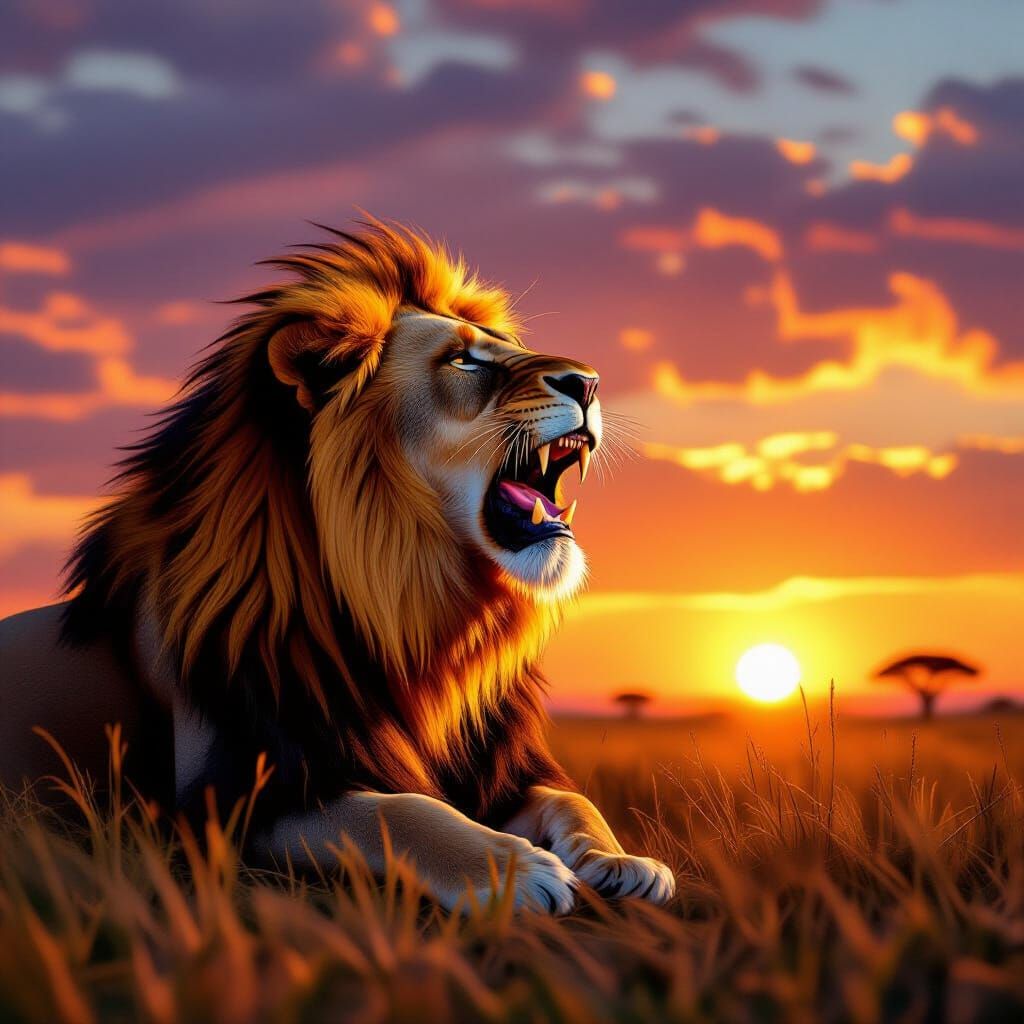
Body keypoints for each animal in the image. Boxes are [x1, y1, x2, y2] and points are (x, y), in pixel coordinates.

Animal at [0, 219, 674, 912]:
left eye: (507, 347)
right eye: (462, 360)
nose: (589, 381)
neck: (416, 622)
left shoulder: (498, 768)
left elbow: (571, 799)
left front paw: (622, 861)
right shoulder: (233, 802)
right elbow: (399, 811)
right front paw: (513, 868)